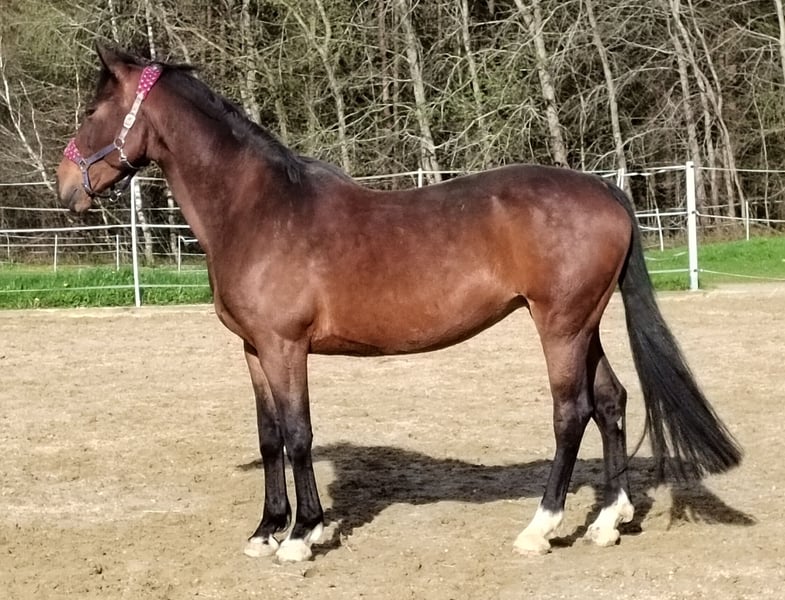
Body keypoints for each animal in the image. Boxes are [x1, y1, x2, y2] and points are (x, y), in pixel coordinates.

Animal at [56, 46, 741, 562]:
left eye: (92, 109)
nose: (66, 188)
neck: (259, 210)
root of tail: (606, 192)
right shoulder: (254, 349)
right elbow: (270, 436)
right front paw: (266, 530)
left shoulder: (286, 346)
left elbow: (299, 434)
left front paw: (302, 535)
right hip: (583, 324)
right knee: (611, 401)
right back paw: (606, 521)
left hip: (560, 326)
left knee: (571, 413)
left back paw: (539, 529)